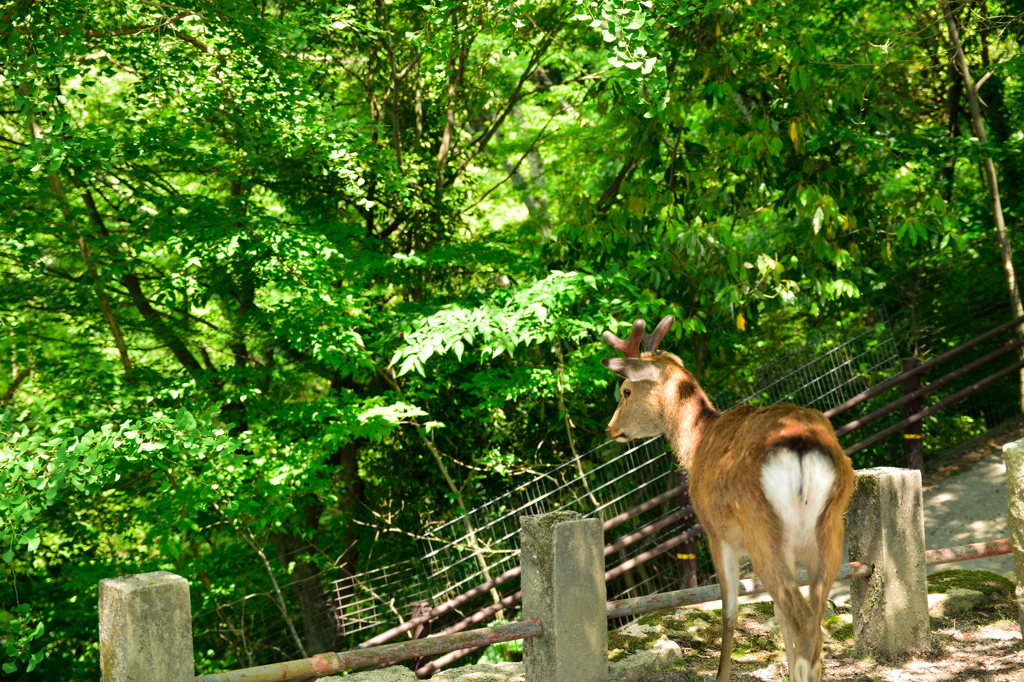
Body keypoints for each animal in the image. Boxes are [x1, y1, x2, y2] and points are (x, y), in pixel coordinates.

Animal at [602, 315, 851, 679]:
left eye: (626, 390)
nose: (611, 428)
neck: (698, 442)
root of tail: (802, 448)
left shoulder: (715, 534)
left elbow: (729, 612)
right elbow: (777, 615)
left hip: (761, 529)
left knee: (803, 621)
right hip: (830, 526)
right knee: (812, 619)